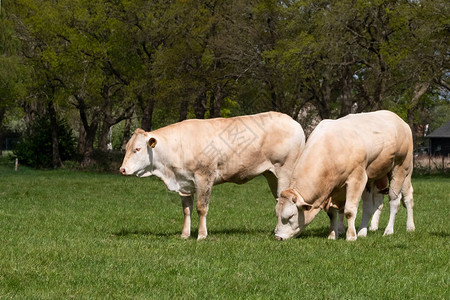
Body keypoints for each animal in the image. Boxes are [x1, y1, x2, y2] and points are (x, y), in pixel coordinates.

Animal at [118, 111, 306, 240]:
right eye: (127, 148)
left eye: (138, 149)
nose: (122, 169)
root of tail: (292, 121)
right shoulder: (184, 184)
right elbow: (186, 210)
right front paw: (185, 235)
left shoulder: (204, 177)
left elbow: (201, 207)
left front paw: (201, 235)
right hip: (272, 176)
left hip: (285, 172)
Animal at [274, 110, 414, 241]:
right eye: (277, 215)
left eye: (290, 216)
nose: (278, 237)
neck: (331, 149)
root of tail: (400, 121)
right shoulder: (332, 190)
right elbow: (332, 214)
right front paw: (332, 235)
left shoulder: (357, 179)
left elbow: (349, 211)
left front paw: (351, 236)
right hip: (373, 179)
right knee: (369, 206)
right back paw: (362, 232)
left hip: (402, 169)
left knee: (400, 199)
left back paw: (399, 229)